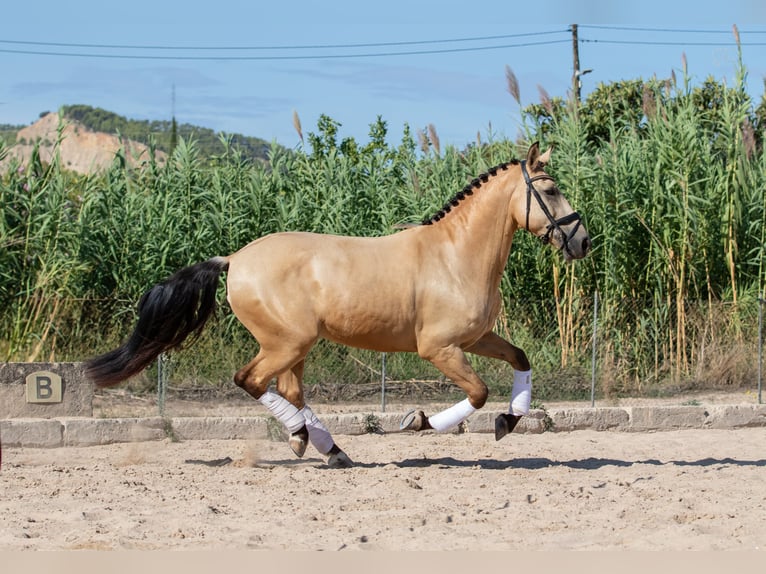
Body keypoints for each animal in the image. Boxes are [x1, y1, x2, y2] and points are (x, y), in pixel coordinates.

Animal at [88, 143, 592, 468]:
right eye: (550, 191)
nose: (582, 241)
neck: (455, 256)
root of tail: (234, 259)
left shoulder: (476, 338)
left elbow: (520, 359)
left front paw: (508, 420)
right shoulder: (440, 348)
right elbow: (478, 392)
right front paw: (418, 421)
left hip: (295, 346)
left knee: (288, 391)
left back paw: (324, 448)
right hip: (287, 342)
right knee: (250, 381)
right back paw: (310, 441)